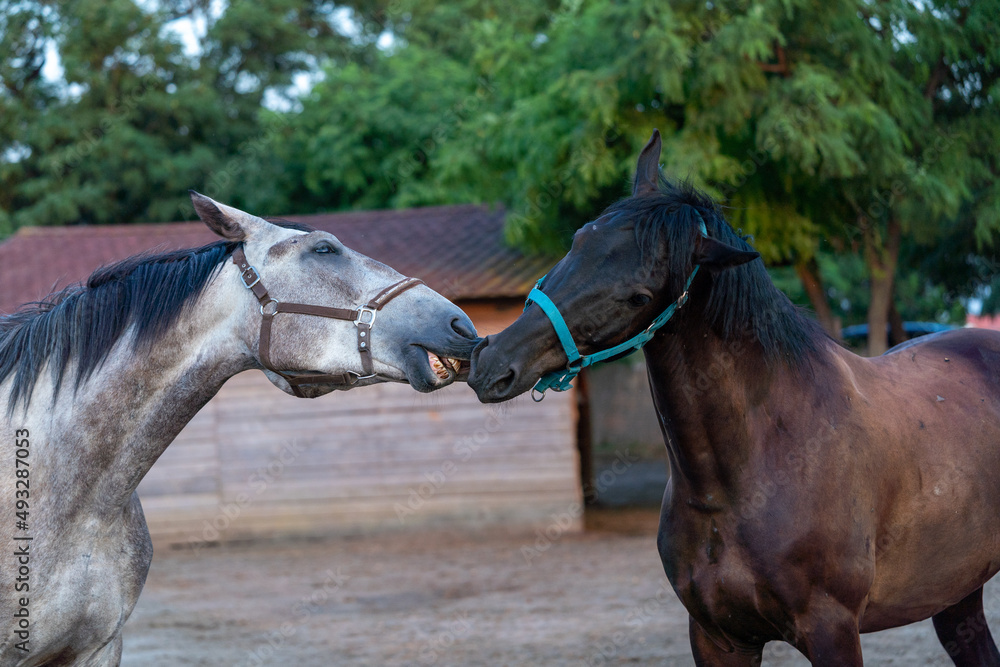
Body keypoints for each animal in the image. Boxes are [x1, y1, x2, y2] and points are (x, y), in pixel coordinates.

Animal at [469, 130, 1000, 666]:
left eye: (639, 296)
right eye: (580, 238)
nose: (491, 362)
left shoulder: (833, 631)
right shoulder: (716, 636)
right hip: (955, 594)